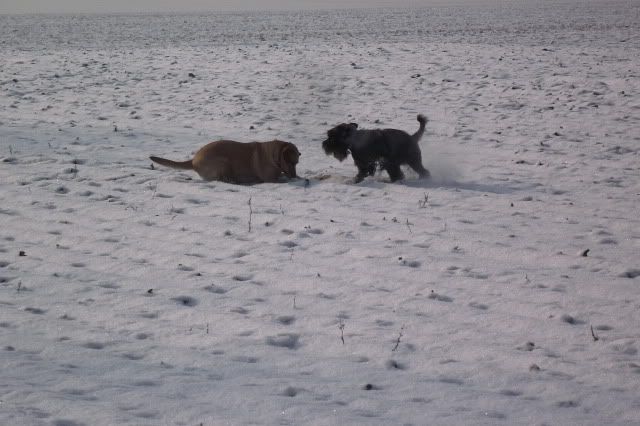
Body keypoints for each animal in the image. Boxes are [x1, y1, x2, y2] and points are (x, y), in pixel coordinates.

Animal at [150, 140, 300, 184]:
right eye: (291, 163)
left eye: (296, 163)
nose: (293, 175)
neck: (274, 155)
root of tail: (193, 161)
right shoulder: (270, 178)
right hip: (223, 162)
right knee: (221, 178)